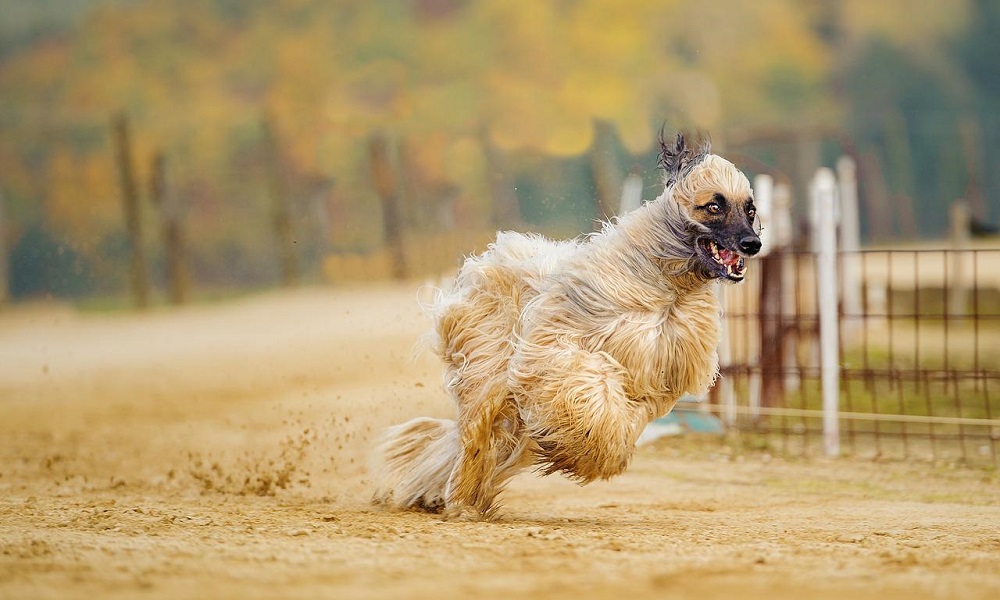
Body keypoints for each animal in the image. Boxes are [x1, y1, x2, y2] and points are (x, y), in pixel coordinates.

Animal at [374, 131, 756, 520]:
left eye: (750, 209)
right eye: (714, 206)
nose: (752, 244)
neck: (669, 285)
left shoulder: (656, 376)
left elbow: (628, 415)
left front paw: (590, 451)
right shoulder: (557, 348)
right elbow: (592, 387)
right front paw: (586, 450)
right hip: (487, 367)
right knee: (476, 436)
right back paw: (463, 500)